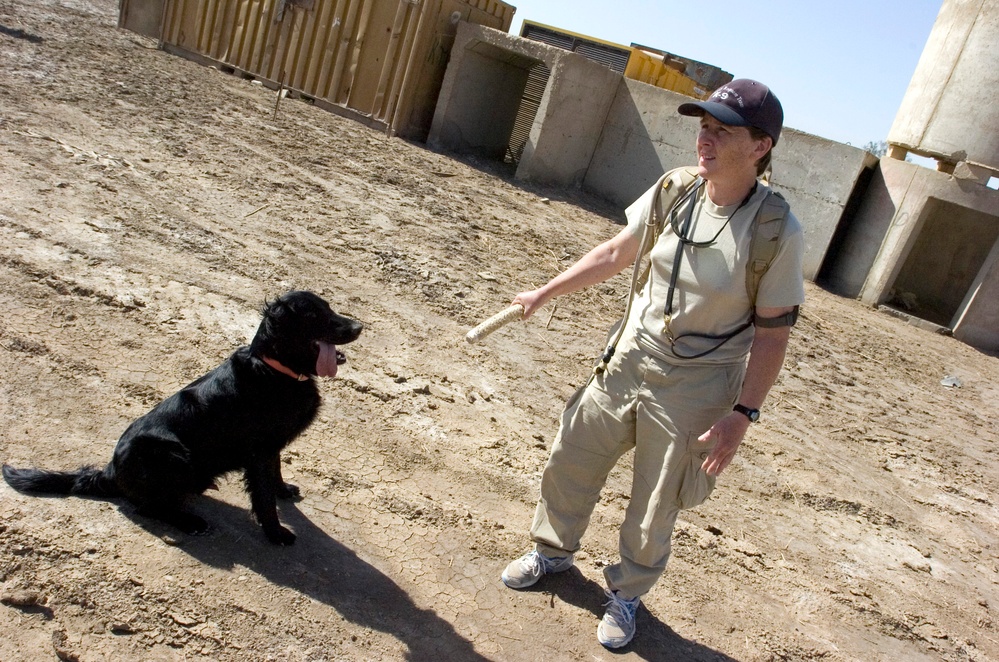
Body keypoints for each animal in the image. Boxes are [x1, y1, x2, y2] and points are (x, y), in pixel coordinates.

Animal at [2, 294, 364, 548]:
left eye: (328, 307)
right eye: (313, 315)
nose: (359, 327)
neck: (275, 369)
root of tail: (109, 472)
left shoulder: (272, 445)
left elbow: (275, 474)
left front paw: (284, 490)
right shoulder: (259, 450)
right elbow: (263, 497)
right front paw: (276, 533)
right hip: (170, 454)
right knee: (147, 507)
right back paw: (190, 522)